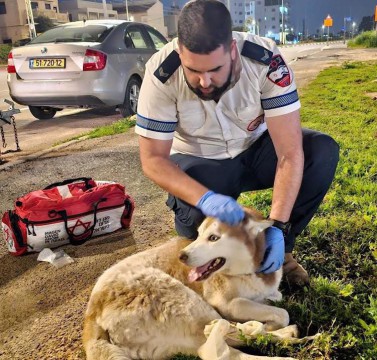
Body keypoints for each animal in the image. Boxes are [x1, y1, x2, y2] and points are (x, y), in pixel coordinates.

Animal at [82, 208, 294, 360]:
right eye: (198, 234)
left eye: (213, 238)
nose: (181, 256)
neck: (252, 270)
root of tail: (91, 312)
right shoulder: (228, 304)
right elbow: (283, 313)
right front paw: (269, 323)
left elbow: (277, 301)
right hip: (187, 302)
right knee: (215, 343)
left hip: (174, 341)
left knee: (226, 350)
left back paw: (283, 335)